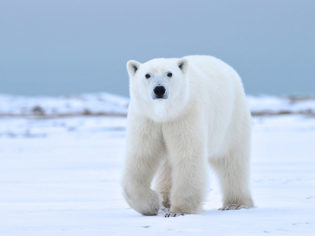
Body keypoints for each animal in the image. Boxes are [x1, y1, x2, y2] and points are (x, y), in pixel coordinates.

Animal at [122, 54, 256, 216]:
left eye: (169, 73)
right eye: (147, 75)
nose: (159, 89)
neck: (165, 114)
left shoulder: (185, 115)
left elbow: (187, 157)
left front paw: (179, 211)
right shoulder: (147, 120)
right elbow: (141, 157)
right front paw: (154, 203)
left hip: (232, 121)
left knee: (231, 160)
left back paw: (236, 204)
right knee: (167, 166)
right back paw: (165, 201)